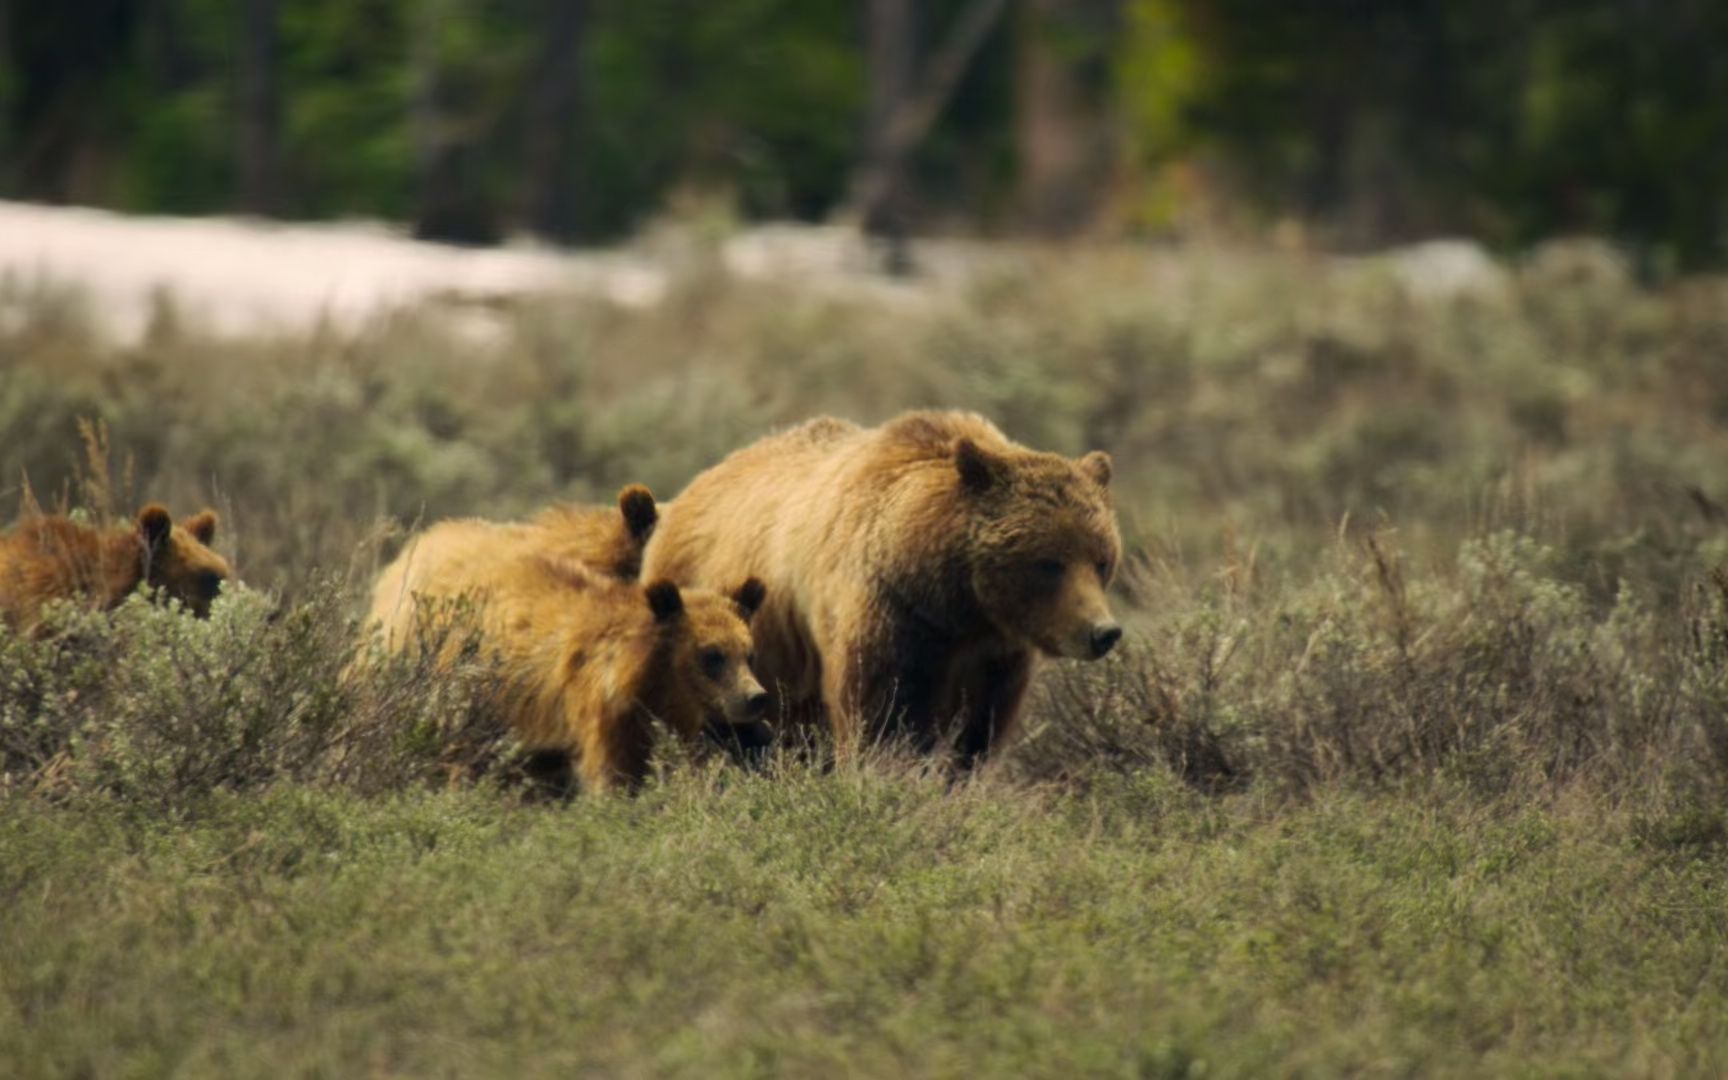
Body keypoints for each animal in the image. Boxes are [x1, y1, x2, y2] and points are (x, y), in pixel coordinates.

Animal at [646, 406, 1119, 767]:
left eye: (1101, 560)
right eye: (1050, 563)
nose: (1103, 632)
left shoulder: (992, 657)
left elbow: (977, 734)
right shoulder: (888, 620)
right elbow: (881, 721)